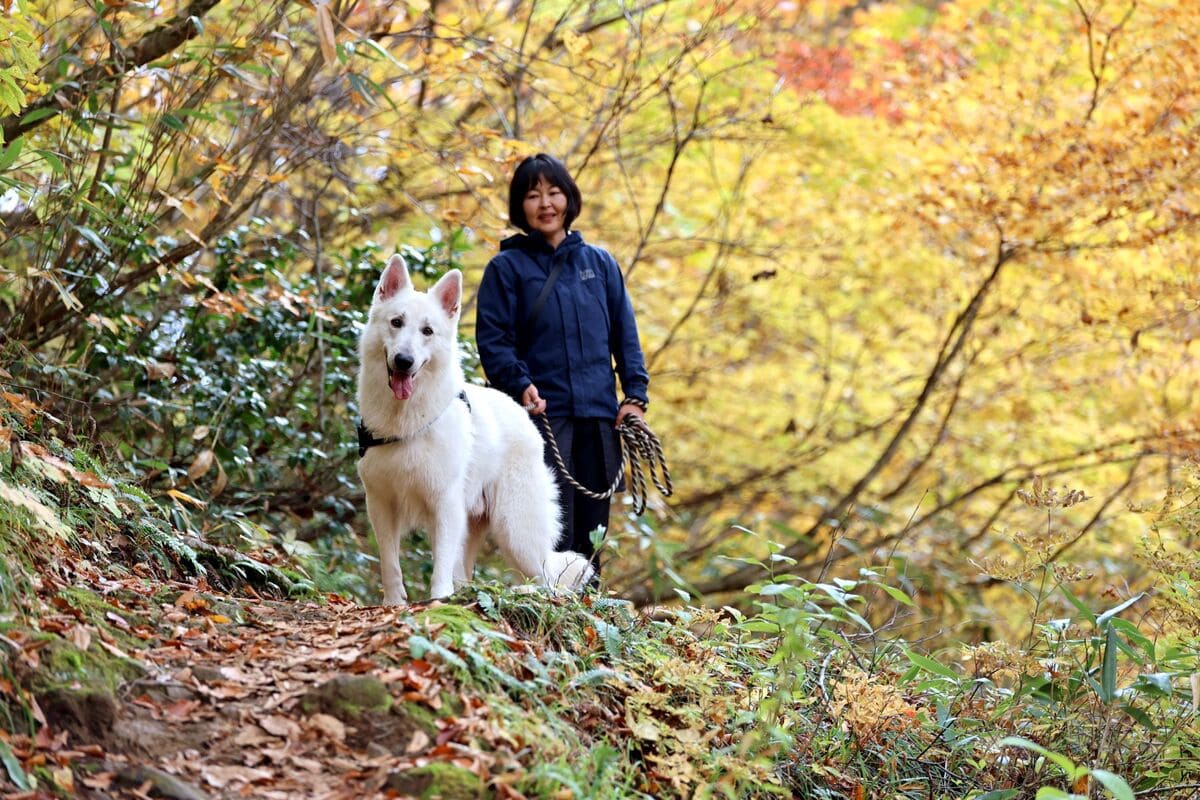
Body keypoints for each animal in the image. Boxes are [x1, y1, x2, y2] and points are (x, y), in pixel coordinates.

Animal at [352, 253, 592, 604]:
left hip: (515, 530)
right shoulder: (380, 503)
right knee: (467, 572)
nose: (404, 361)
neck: (408, 420)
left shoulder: (444, 504)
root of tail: (525, 412)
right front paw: (394, 603)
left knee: (549, 582)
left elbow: (439, 565)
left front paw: (438, 601)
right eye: (396, 322)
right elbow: (390, 564)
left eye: (427, 331)